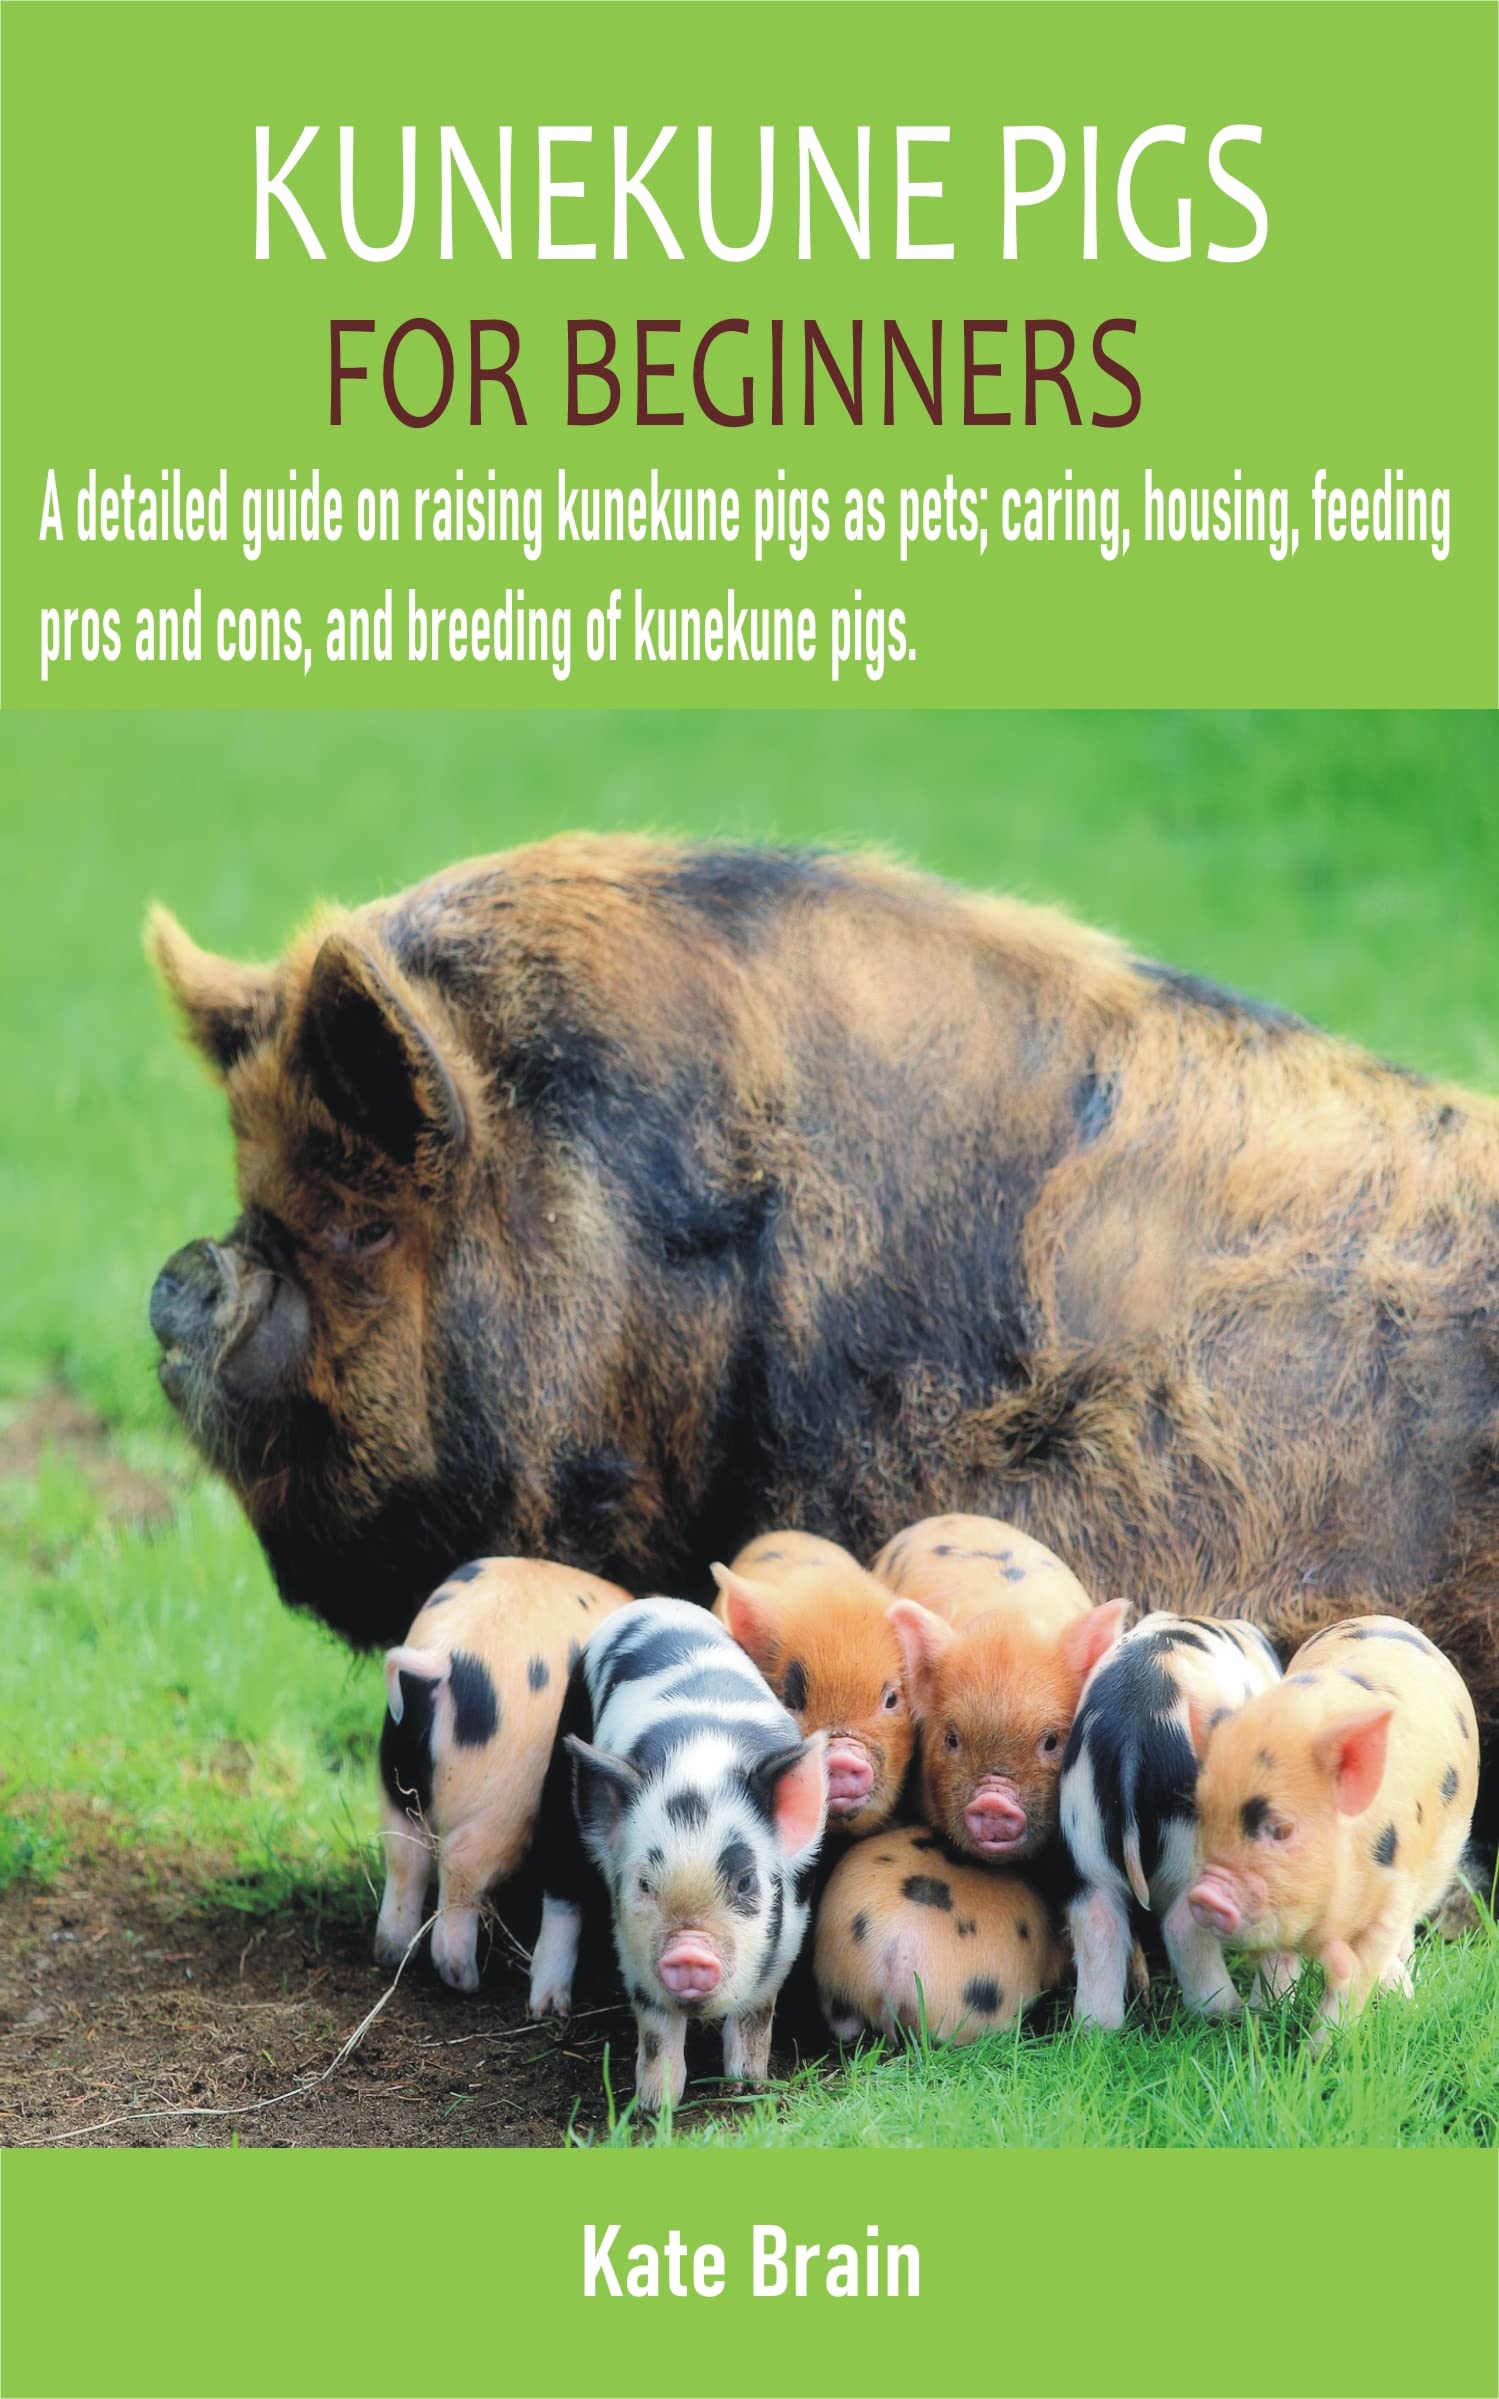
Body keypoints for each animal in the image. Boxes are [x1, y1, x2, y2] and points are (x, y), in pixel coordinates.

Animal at [375, 1557, 631, 1989]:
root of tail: (445, 1659)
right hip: (508, 1793)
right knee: (460, 1862)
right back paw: (465, 1979)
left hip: (396, 1765)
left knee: (404, 1853)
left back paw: (391, 1952)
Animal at [526, 1597, 828, 2111]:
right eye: (645, 1883)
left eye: (746, 1881)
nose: (688, 1952)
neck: (700, 1762)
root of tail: (653, 1603)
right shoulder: (631, 1941)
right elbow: (655, 2027)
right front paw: (656, 2107)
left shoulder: (790, 1931)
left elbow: (756, 2015)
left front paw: (747, 2088)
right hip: (561, 1782)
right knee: (561, 1888)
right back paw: (547, 2008)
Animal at [1059, 1613, 1286, 2027]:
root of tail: (1132, 1733)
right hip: (1189, 1840)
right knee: (1183, 1926)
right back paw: (1227, 2013)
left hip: (1082, 1834)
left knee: (1097, 1926)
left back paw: (1097, 2031)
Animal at [1187, 1616, 1481, 2030]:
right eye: (1202, 1815)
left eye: (1282, 1829)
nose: (1205, 1895)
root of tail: (1385, 1619)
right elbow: (1275, 1961)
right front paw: (1261, 2018)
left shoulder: (1394, 1894)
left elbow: (1357, 1976)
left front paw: (1324, 2044)